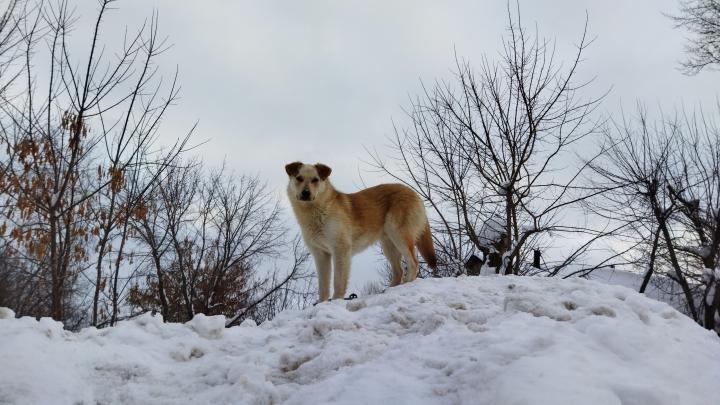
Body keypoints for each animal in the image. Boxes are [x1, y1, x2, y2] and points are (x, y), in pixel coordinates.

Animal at [284, 161, 436, 300]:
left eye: (315, 180)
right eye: (299, 178)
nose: (305, 193)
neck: (317, 211)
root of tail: (413, 192)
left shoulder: (341, 249)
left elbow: (338, 281)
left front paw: (336, 300)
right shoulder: (320, 254)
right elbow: (323, 286)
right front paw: (322, 304)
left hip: (399, 236)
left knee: (413, 264)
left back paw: (406, 285)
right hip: (389, 245)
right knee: (398, 271)